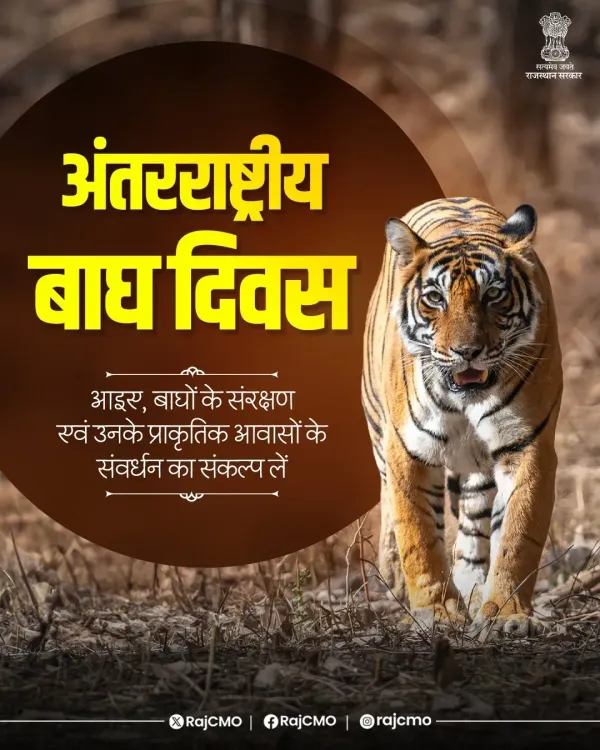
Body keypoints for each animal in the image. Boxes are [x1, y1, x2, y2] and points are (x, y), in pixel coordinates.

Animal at [361, 196, 563, 637]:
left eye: (494, 295)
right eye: (435, 298)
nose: (466, 351)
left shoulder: (527, 446)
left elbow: (517, 537)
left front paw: (506, 614)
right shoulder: (409, 453)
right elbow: (418, 536)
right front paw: (436, 612)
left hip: (477, 466)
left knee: (473, 521)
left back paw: (472, 585)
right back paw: (394, 574)